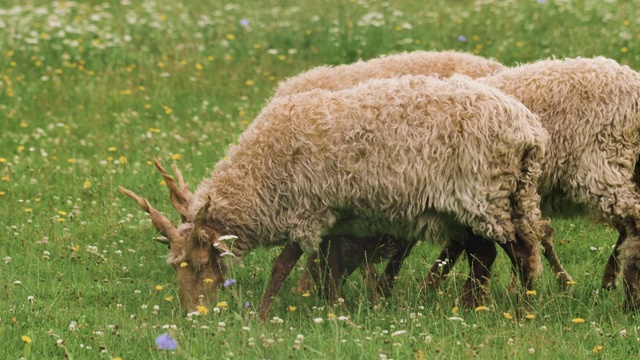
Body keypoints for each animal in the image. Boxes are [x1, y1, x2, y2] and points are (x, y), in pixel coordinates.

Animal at [121, 74, 552, 320]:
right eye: (174, 266)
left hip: (490, 197)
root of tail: (530, 129)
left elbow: (283, 266)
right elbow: (328, 265)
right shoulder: (333, 217)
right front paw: (335, 308)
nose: (192, 315)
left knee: (522, 252)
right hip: (482, 203)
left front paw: (261, 315)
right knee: (487, 254)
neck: (260, 174)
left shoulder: (307, 210)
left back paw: (523, 308)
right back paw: (472, 306)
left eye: (198, 264)